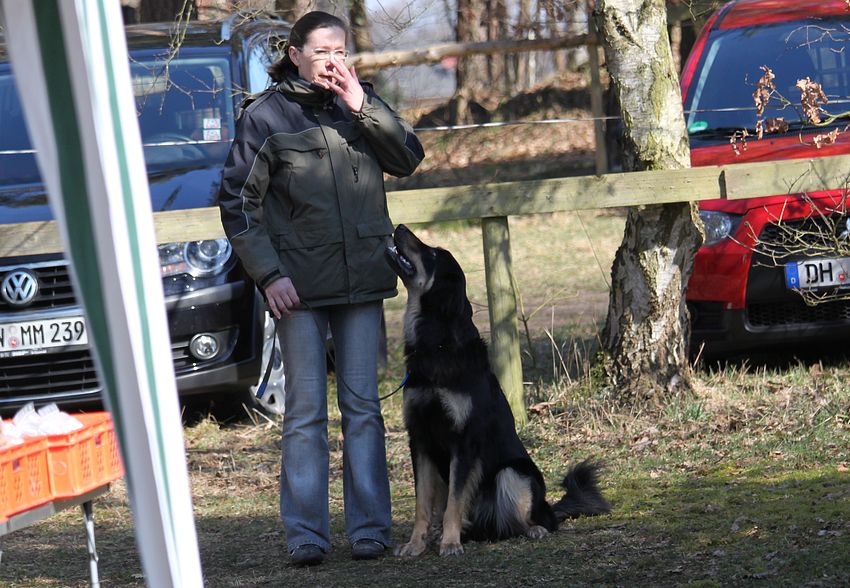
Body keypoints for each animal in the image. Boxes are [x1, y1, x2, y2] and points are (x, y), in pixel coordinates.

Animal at [385, 224, 610, 557]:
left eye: (433, 253)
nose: (398, 227)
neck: (437, 344)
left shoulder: (463, 442)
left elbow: (454, 503)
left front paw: (450, 543)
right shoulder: (420, 439)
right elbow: (422, 505)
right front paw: (415, 544)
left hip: (513, 475)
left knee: (530, 519)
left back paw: (534, 529)